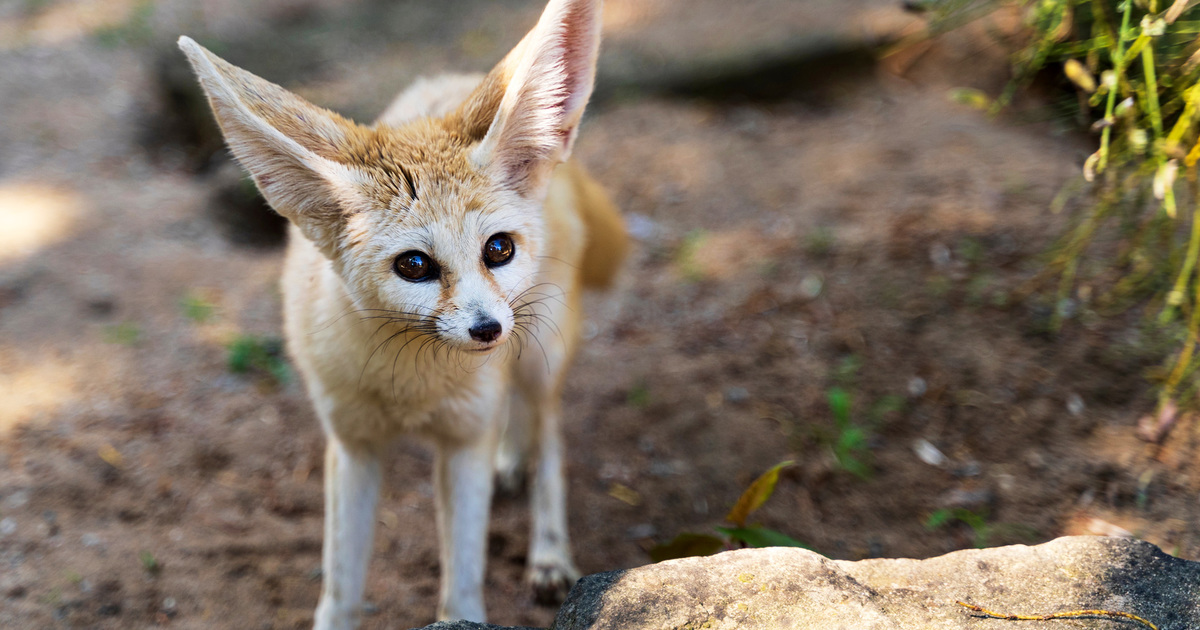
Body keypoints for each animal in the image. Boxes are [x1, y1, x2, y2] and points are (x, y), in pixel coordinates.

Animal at [177, 0, 626, 626]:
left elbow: (462, 584)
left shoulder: (463, 440)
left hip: (542, 353)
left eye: (498, 249)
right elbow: (341, 586)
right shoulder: (352, 445)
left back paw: (549, 550)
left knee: (550, 437)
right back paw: (512, 458)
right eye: (414, 265)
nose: (487, 330)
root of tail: (456, 76)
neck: (413, 387)